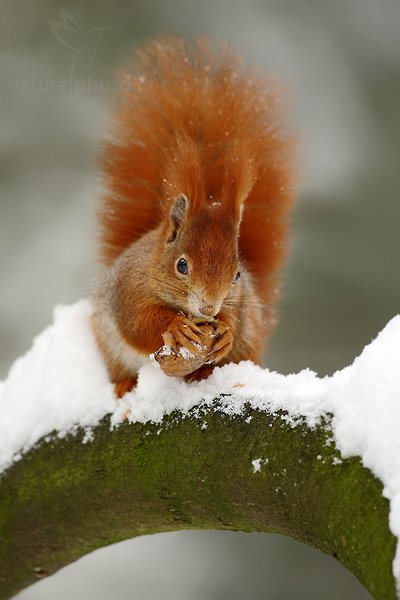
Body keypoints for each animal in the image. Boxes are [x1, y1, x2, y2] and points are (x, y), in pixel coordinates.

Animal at [91, 36, 296, 394]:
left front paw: (225, 330)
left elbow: (234, 320)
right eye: (182, 266)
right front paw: (176, 326)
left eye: (237, 274)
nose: (208, 308)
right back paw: (125, 383)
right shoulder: (129, 291)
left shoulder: (240, 300)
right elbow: (139, 324)